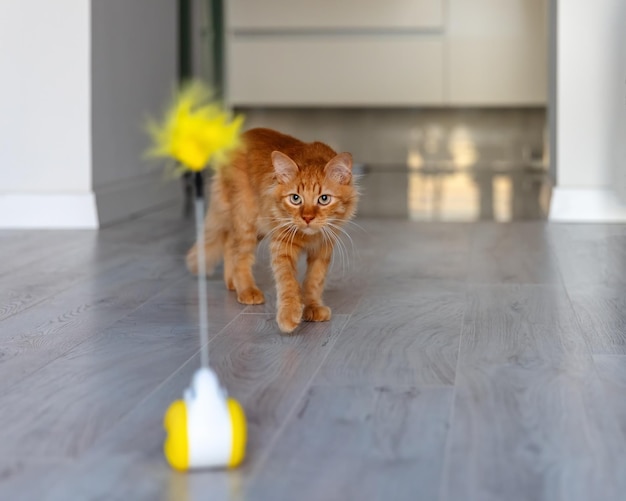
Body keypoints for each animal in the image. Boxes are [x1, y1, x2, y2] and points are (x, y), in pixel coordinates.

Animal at [186, 128, 356, 332]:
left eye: (324, 199)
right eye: (295, 198)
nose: (307, 218)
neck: (308, 237)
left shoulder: (322, 248)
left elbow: (314, 280)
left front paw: (313, 307)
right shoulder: (282, 244)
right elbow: (288, 282)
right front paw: (289, 315)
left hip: (257, 227)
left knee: (229, 245)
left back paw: (232, 282)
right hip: (246, 220)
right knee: (239, 256)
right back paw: (246, 290)